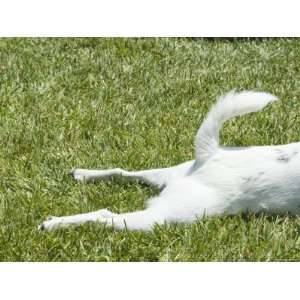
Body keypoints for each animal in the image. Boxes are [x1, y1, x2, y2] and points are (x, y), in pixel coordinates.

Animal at [39, 90, 300, 231]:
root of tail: (211, 154)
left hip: (167, 176)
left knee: (121, 173)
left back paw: (83, 174)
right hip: (168, 215)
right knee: (105, 216)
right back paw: (54, 224)